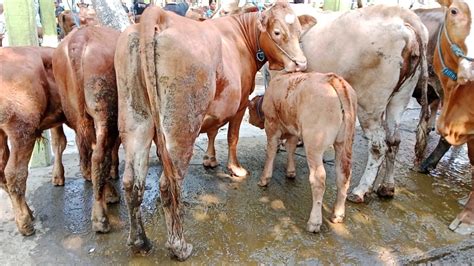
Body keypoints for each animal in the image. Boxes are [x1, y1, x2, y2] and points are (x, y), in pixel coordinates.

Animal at [0, 47, 67, 235]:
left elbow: (60, 142)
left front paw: (58, 177)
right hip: (22, 130)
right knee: (14, 172)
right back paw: (25, 223)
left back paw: (27, 213)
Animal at [52, 26, 120, 233]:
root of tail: (80, 38)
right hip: (106, 112)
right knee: (99, 155)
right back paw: (101, 216)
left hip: (75, 111)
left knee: (89, 147)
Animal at [115, 0, 308, 258]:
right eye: (277, 32)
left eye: (300, 32)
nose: (301, 64)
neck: (241, 35)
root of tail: (159, 14)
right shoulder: (241, 102)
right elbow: (232, 136)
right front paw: (235, 168)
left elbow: (213, 131)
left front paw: (210, 159)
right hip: (182, 125)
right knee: (169, 183)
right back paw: (179, 246)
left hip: (136, 118)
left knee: (131, 182)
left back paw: (140, 241)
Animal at [248, 72, 356, 233]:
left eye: (249, 110)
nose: (249, 120)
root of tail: (332, 78)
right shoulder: (293, 128)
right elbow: (291, 147)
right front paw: (290, 171)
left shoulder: (272, 125)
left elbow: (271, 151)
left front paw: (264, 179)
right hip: (343, 143)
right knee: (343, 174)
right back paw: (337, 214)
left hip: (314, 143)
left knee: (318, 179)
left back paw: (314, 222)